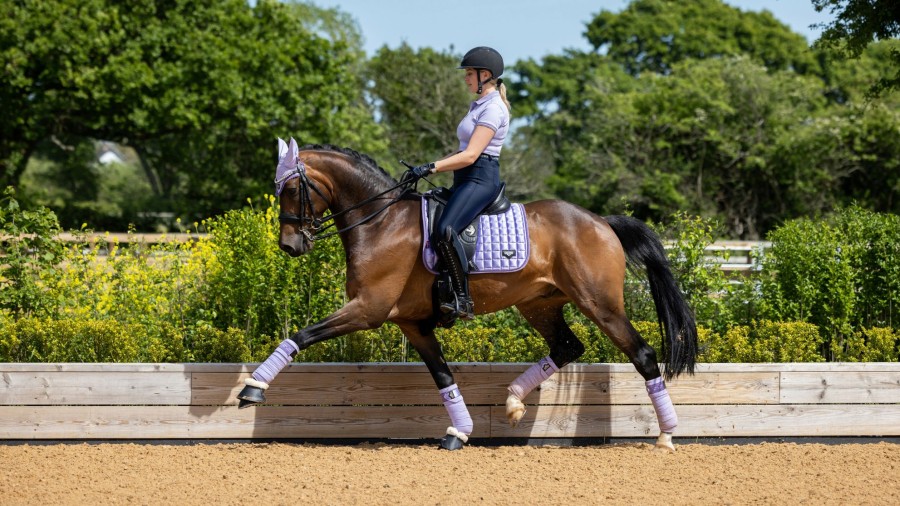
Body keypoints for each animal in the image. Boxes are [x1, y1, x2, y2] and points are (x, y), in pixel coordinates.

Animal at [237, 138, 696, 450]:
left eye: (290, 190)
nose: (290, 246)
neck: (381, 221)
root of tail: (601, 222)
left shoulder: (367, 309)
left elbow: (300, 335)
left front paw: (253, 388)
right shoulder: (413, 324)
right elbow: (444, 377)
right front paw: (460, 430)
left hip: (601, 305)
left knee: (643, 355)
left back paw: (667, 435)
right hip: (539, 304)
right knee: (567, 346)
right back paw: (512, 401)